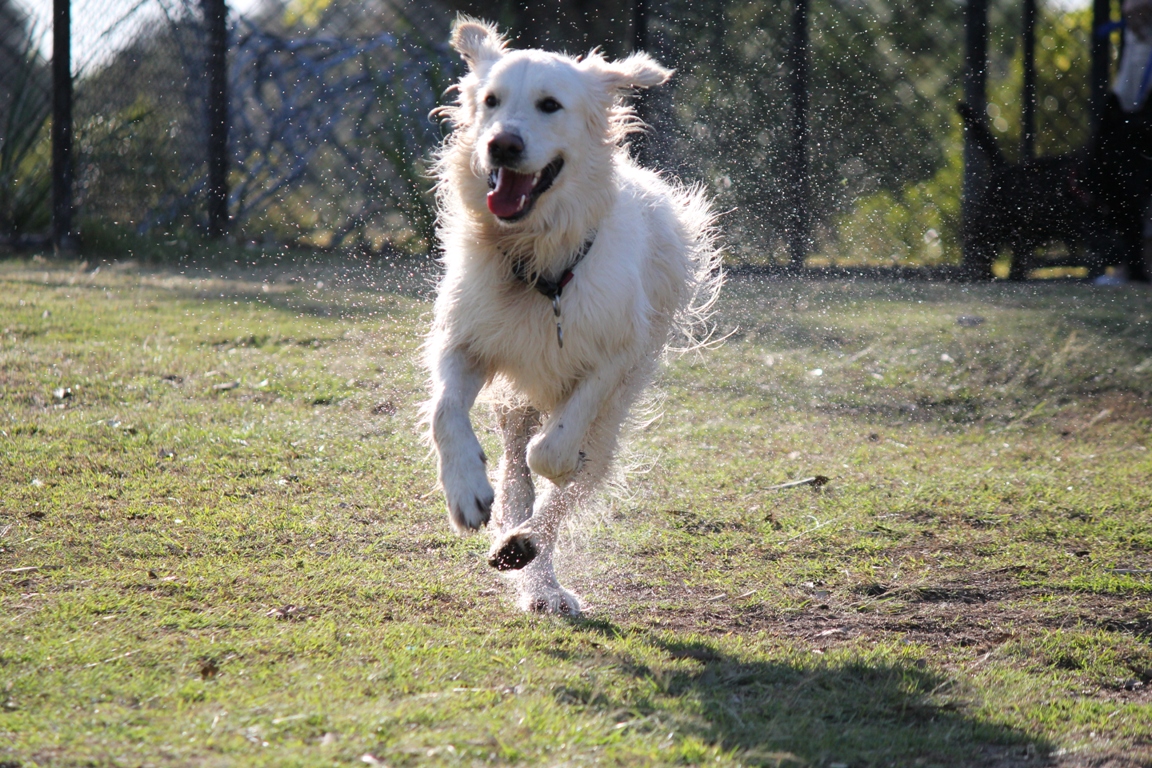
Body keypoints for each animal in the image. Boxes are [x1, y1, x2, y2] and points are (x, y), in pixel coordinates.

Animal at [423, 17, 718, 617]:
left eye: (550, 104)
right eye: (490, 101)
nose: (501, 144)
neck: (541, 261)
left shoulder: (616, 353)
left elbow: (558, 451)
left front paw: (548, 478)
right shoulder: (462, 339)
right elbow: (446, 413)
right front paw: (465, 490)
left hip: (616, 410)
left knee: (572, 478)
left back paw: (529, 552)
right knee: (516, 482)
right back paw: (526, 560)